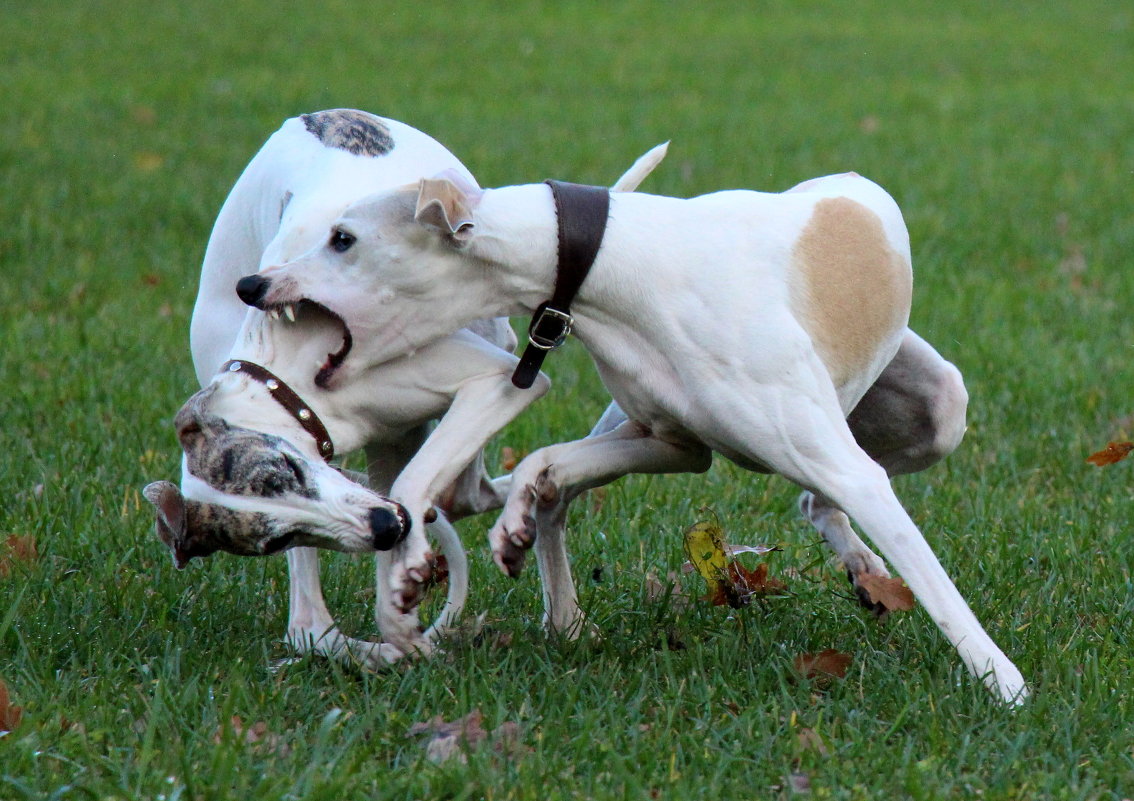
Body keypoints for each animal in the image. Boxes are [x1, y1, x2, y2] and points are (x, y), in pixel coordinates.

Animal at [243, 162, 1034, 698]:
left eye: (343, 238)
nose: (253, 285)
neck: (617, 267)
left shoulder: (846, 470)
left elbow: (936, 584)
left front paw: (1005, 683)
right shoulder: (671, 442)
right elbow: (550, 461)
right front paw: (518, 517)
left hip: (935, 410)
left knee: (829, 492)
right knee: (805, 501)